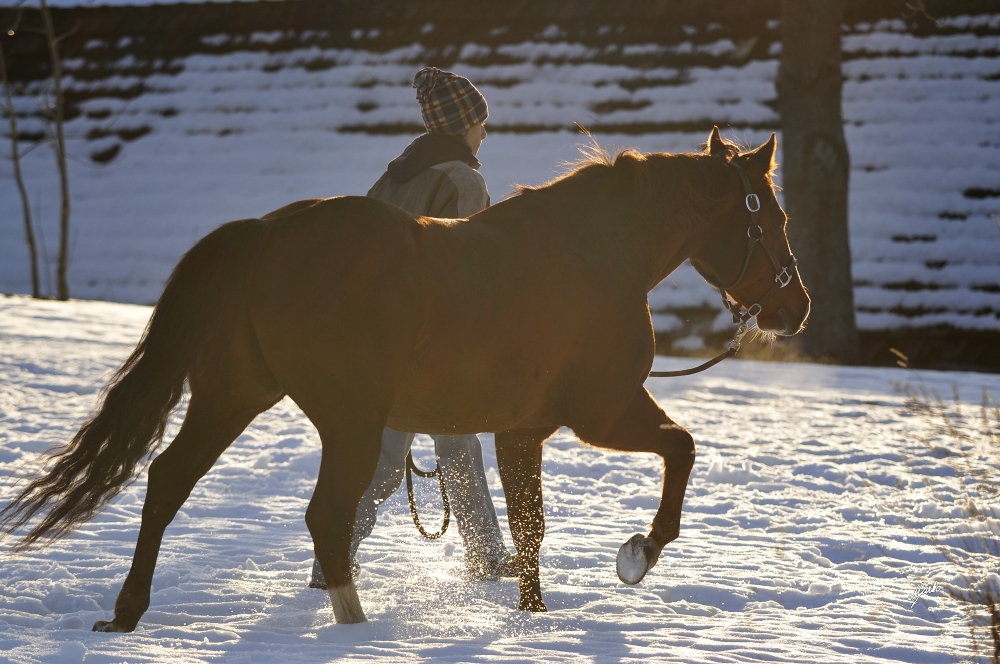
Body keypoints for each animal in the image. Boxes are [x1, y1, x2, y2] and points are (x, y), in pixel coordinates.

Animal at [0, 128, 808, 628]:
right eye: (770, 218)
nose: (794, 307)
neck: (594, 258)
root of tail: (263, 235)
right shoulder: (604, 412)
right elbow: (682, 450)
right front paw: (638, 553)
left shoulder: (522, 432)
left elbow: (529, 527)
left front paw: (533, 615)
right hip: (348, 423)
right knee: (324, 515)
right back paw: (355, 626)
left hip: (235, 396)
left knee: (169, 480)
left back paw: (127, 612)